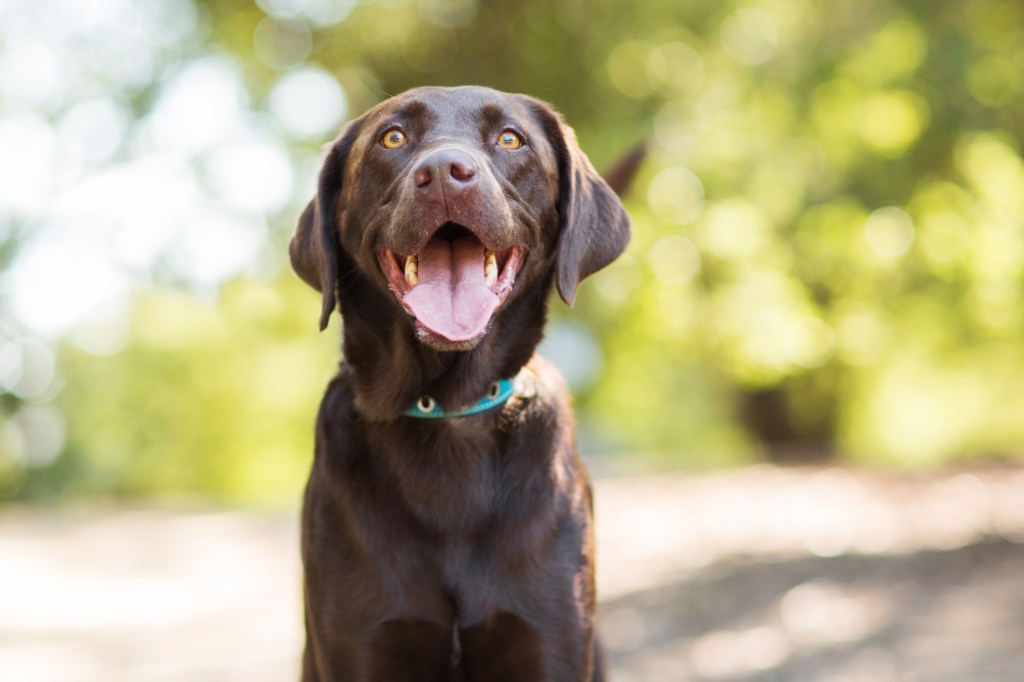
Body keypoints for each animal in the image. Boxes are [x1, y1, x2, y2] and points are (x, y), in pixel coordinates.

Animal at [288, 86, 634, 679]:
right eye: (393, 137)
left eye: (510, 139)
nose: (446, 174)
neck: (447, 407)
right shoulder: (359, 643)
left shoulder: (549, 639)